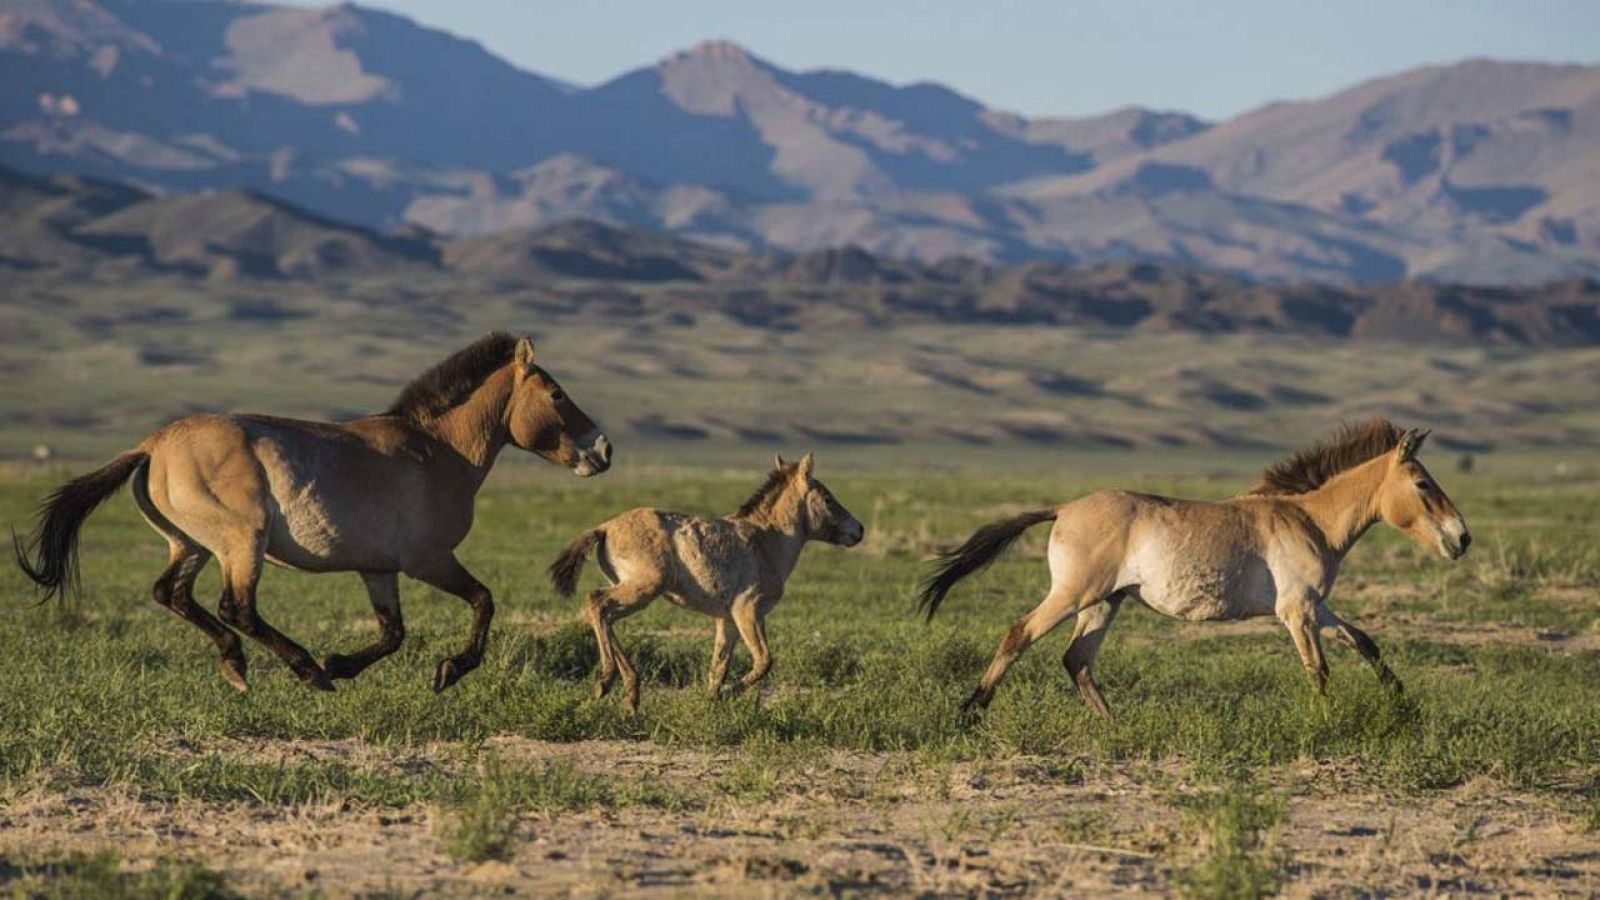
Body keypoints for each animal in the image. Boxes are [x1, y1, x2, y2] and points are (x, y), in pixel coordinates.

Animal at [14, 332, 612, 694]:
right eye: (557, 395)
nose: (603, 450)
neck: (437, 450)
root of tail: (152, 445)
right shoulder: (428, 559)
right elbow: (483, 601)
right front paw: (446, 671)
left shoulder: (378, 569)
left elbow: (393, 633)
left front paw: (341, 663)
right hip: (241, 542)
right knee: (236, 608)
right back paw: (300, 669)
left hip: (192, 544)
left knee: (173, 594)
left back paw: (240, 666)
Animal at [548, 452, 864, 712]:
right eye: (827, 497)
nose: (858, 530)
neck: (766, 540)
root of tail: (604, 528)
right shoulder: (748, 611)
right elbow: (763, 661)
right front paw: (729, 694)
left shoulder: (727, 620)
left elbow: (718, 667)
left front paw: (710, 703)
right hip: (642, 589)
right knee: (596, 602)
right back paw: (605, 683)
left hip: (633, 592)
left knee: (605, 616)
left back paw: (631, 695)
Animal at [919, 420, 1469, 720]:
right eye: (1422, 483)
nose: (1462, 538)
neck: (1309, 519)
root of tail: (1063, 509)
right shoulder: (1297, 612)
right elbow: (1319, 669)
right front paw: (1328, 722)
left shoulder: (1315, 607)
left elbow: (1365, 643)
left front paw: (1405, 707)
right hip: (1075, 595)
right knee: (1020, 634)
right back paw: (971, 712)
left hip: (1104, 603)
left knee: (1077, 660)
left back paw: (1116, 726)